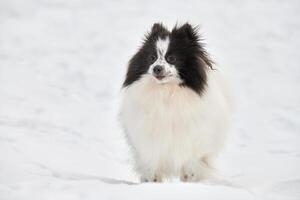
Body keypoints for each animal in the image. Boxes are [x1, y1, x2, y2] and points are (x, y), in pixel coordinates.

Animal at [119, 22, 232, 182]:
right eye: (152, 58)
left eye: (171, 58)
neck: (167, 92)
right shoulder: (150, 143)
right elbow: (152, 169)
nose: (157, 68)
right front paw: (152, 183)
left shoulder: (193, 142)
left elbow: (190, 168)